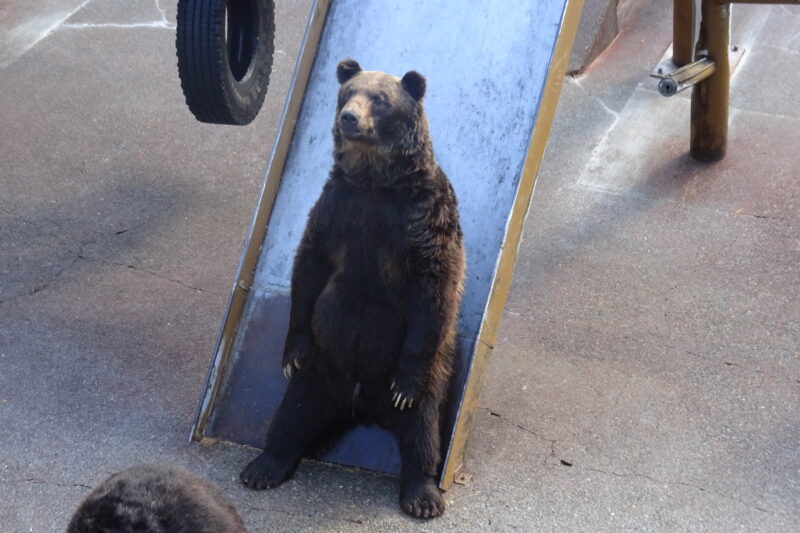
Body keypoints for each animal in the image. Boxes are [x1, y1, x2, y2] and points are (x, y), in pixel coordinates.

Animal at [241, 58, 466, 520]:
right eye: (348, 93)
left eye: (380, 99)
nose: (349, 118)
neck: (377, 184)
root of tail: (362, 405)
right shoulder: (337, 208)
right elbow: (309, 268)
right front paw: (290, 352)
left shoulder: (423, 220)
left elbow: (434, 288)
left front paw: (406, 387)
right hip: (324, 367)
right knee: (292, 413)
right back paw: (264, 465)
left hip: (426, 372)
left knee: (422, 430)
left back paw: (422, 494)